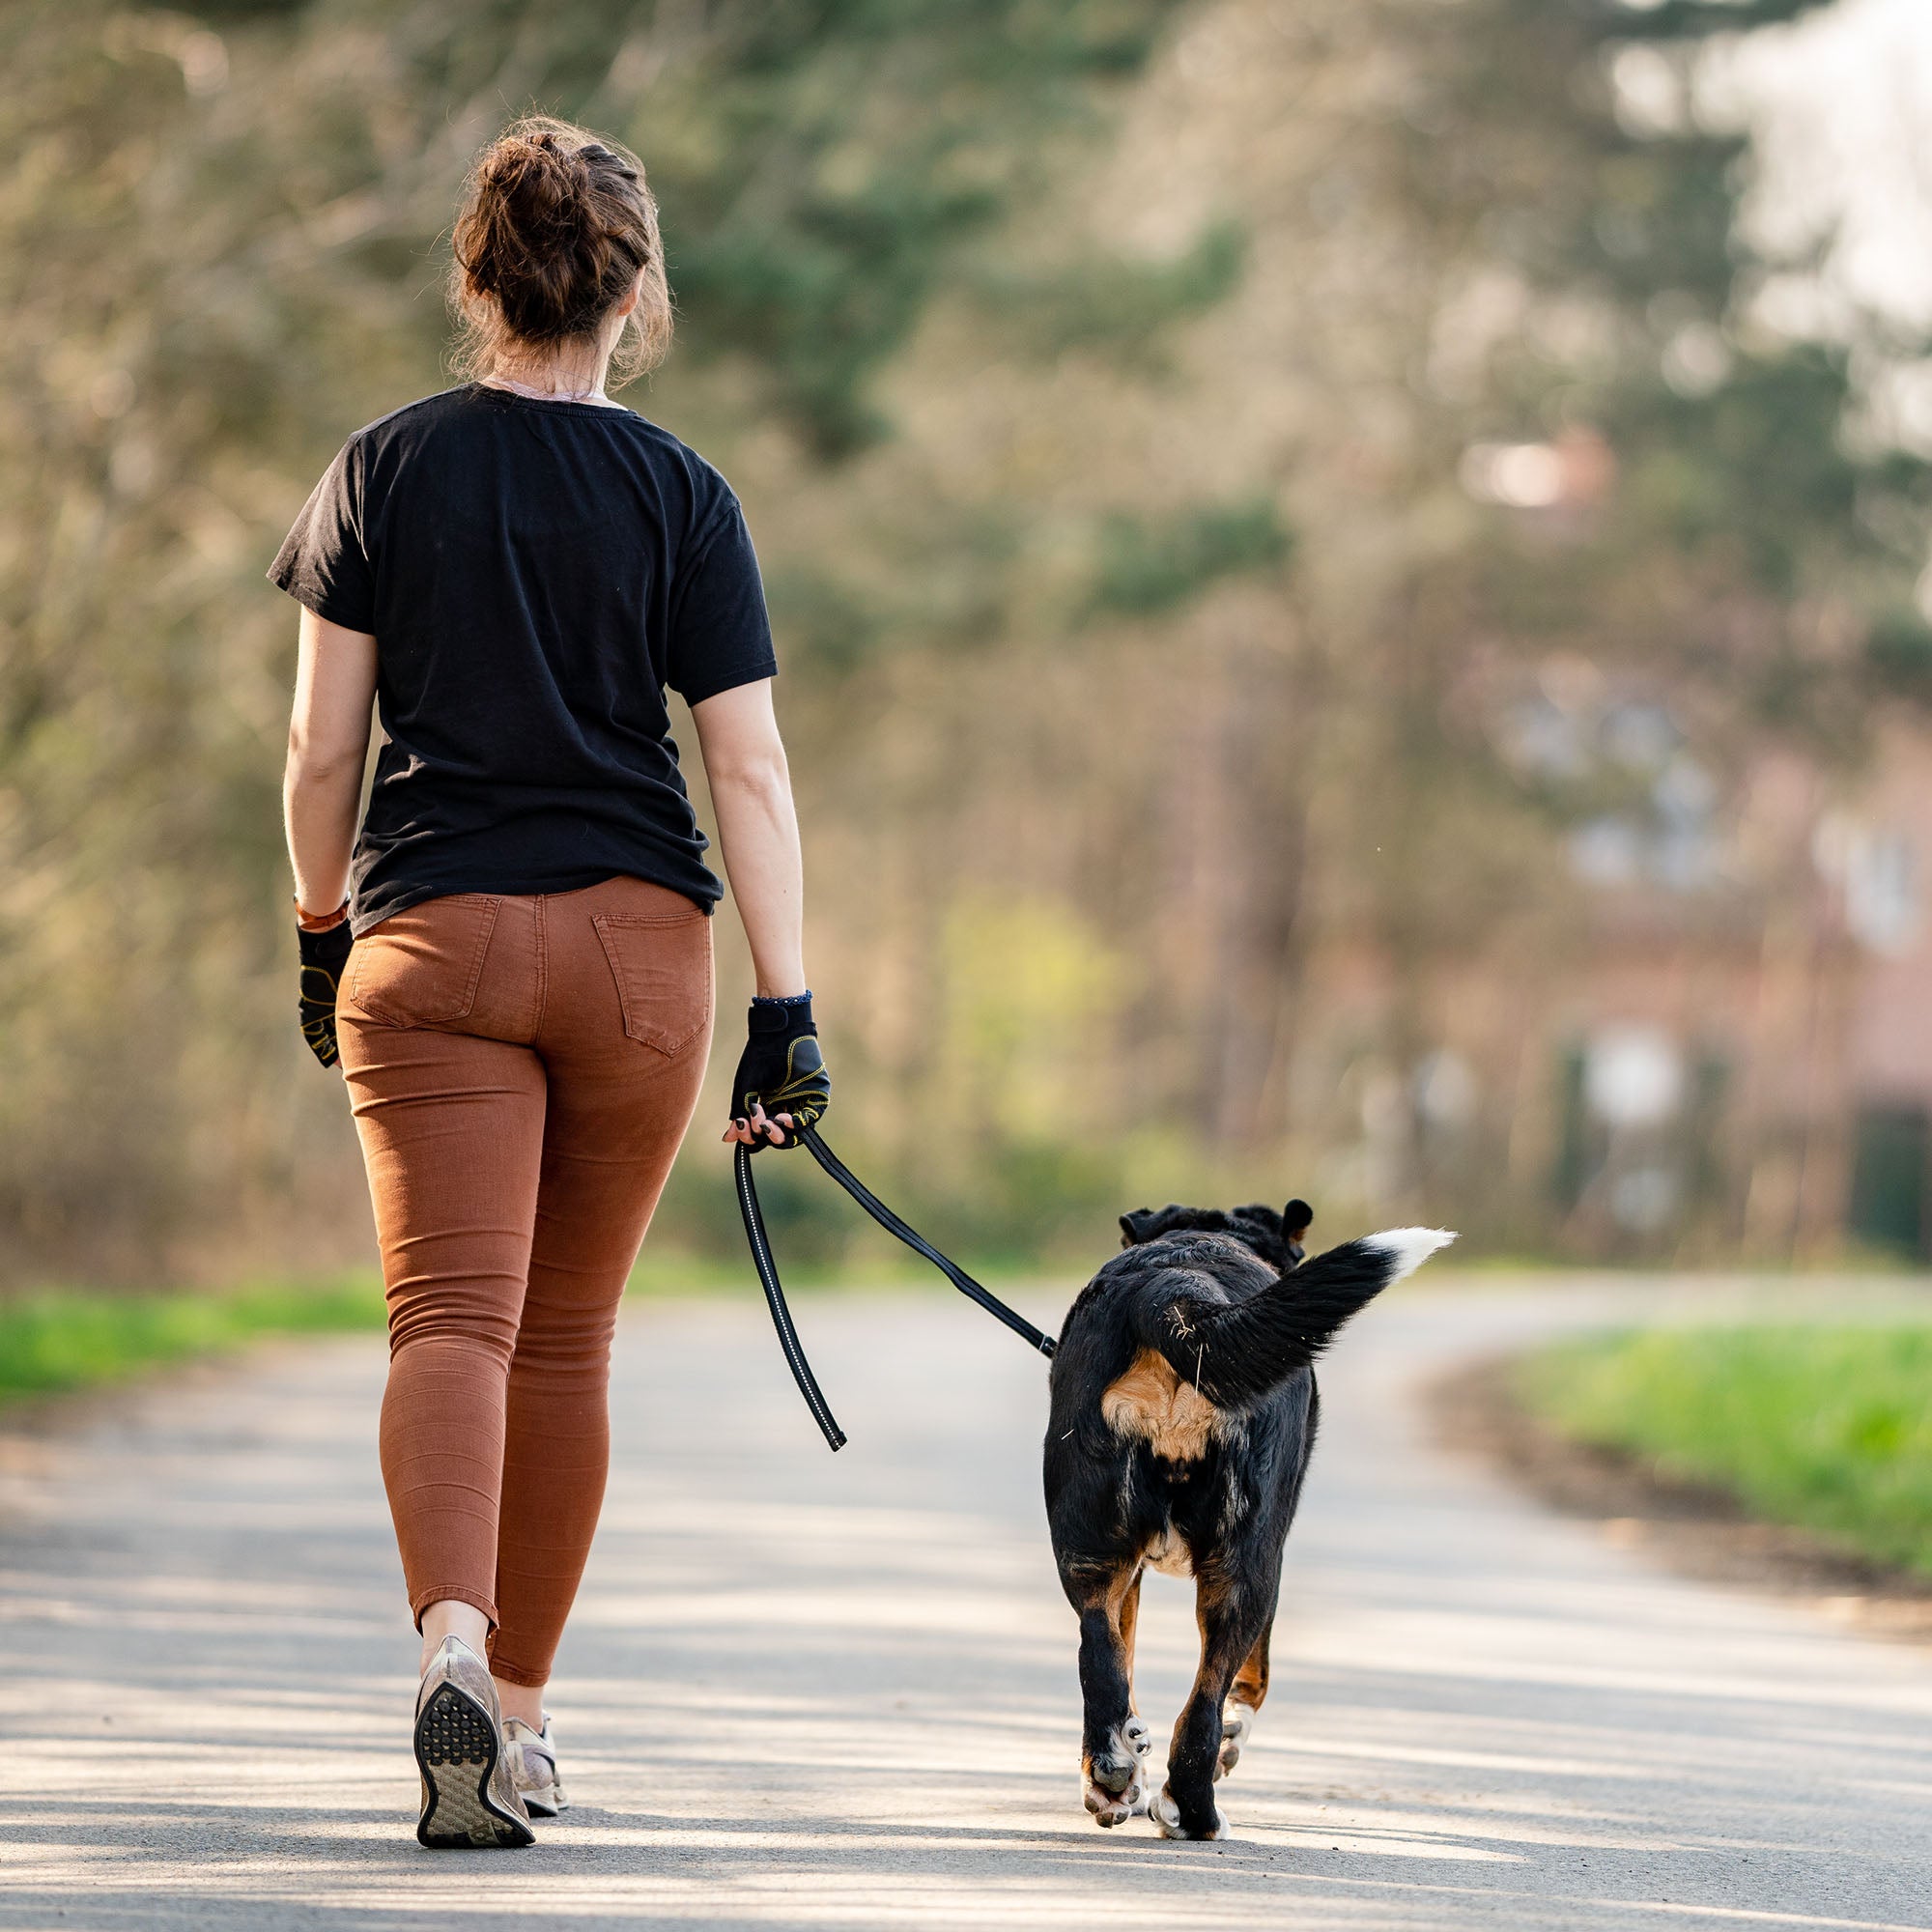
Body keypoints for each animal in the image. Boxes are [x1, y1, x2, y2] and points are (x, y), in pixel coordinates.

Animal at [1043, 1190, 1453, 1839]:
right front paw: (1229, 1739)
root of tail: (1172, 1288)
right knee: (1205, 1705)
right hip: (1247, 1565)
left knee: (1099, 1660)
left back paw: (1111, 1776)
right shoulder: (1271, 1554)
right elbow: (1251, 1681)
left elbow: (1123, 1657)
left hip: (1089, 1549)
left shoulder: (1127, 1573)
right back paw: (1194, 1812)